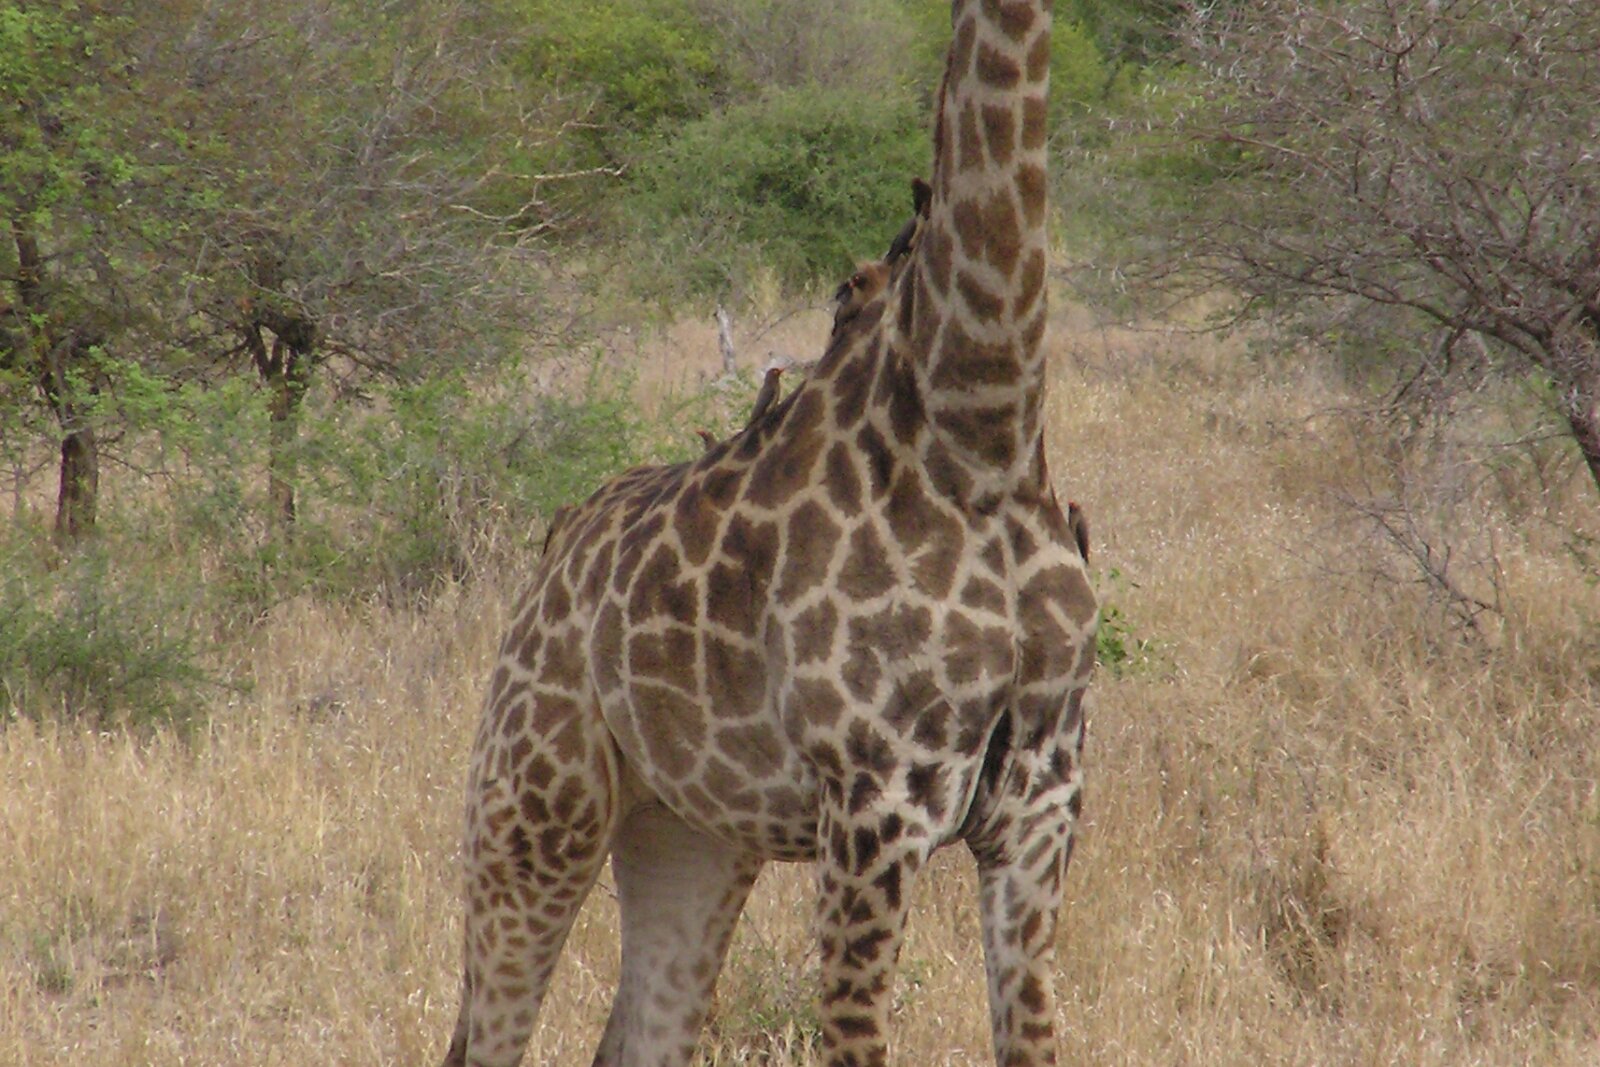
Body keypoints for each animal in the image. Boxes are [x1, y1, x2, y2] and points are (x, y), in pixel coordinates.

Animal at [441, 2, 1095, 1064]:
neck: (983, 428)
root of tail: (553, 546)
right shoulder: (873, 808)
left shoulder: (1042, 806)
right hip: (532, 801)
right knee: (494, 1032)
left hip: (688, 829)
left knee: (641, 1033)